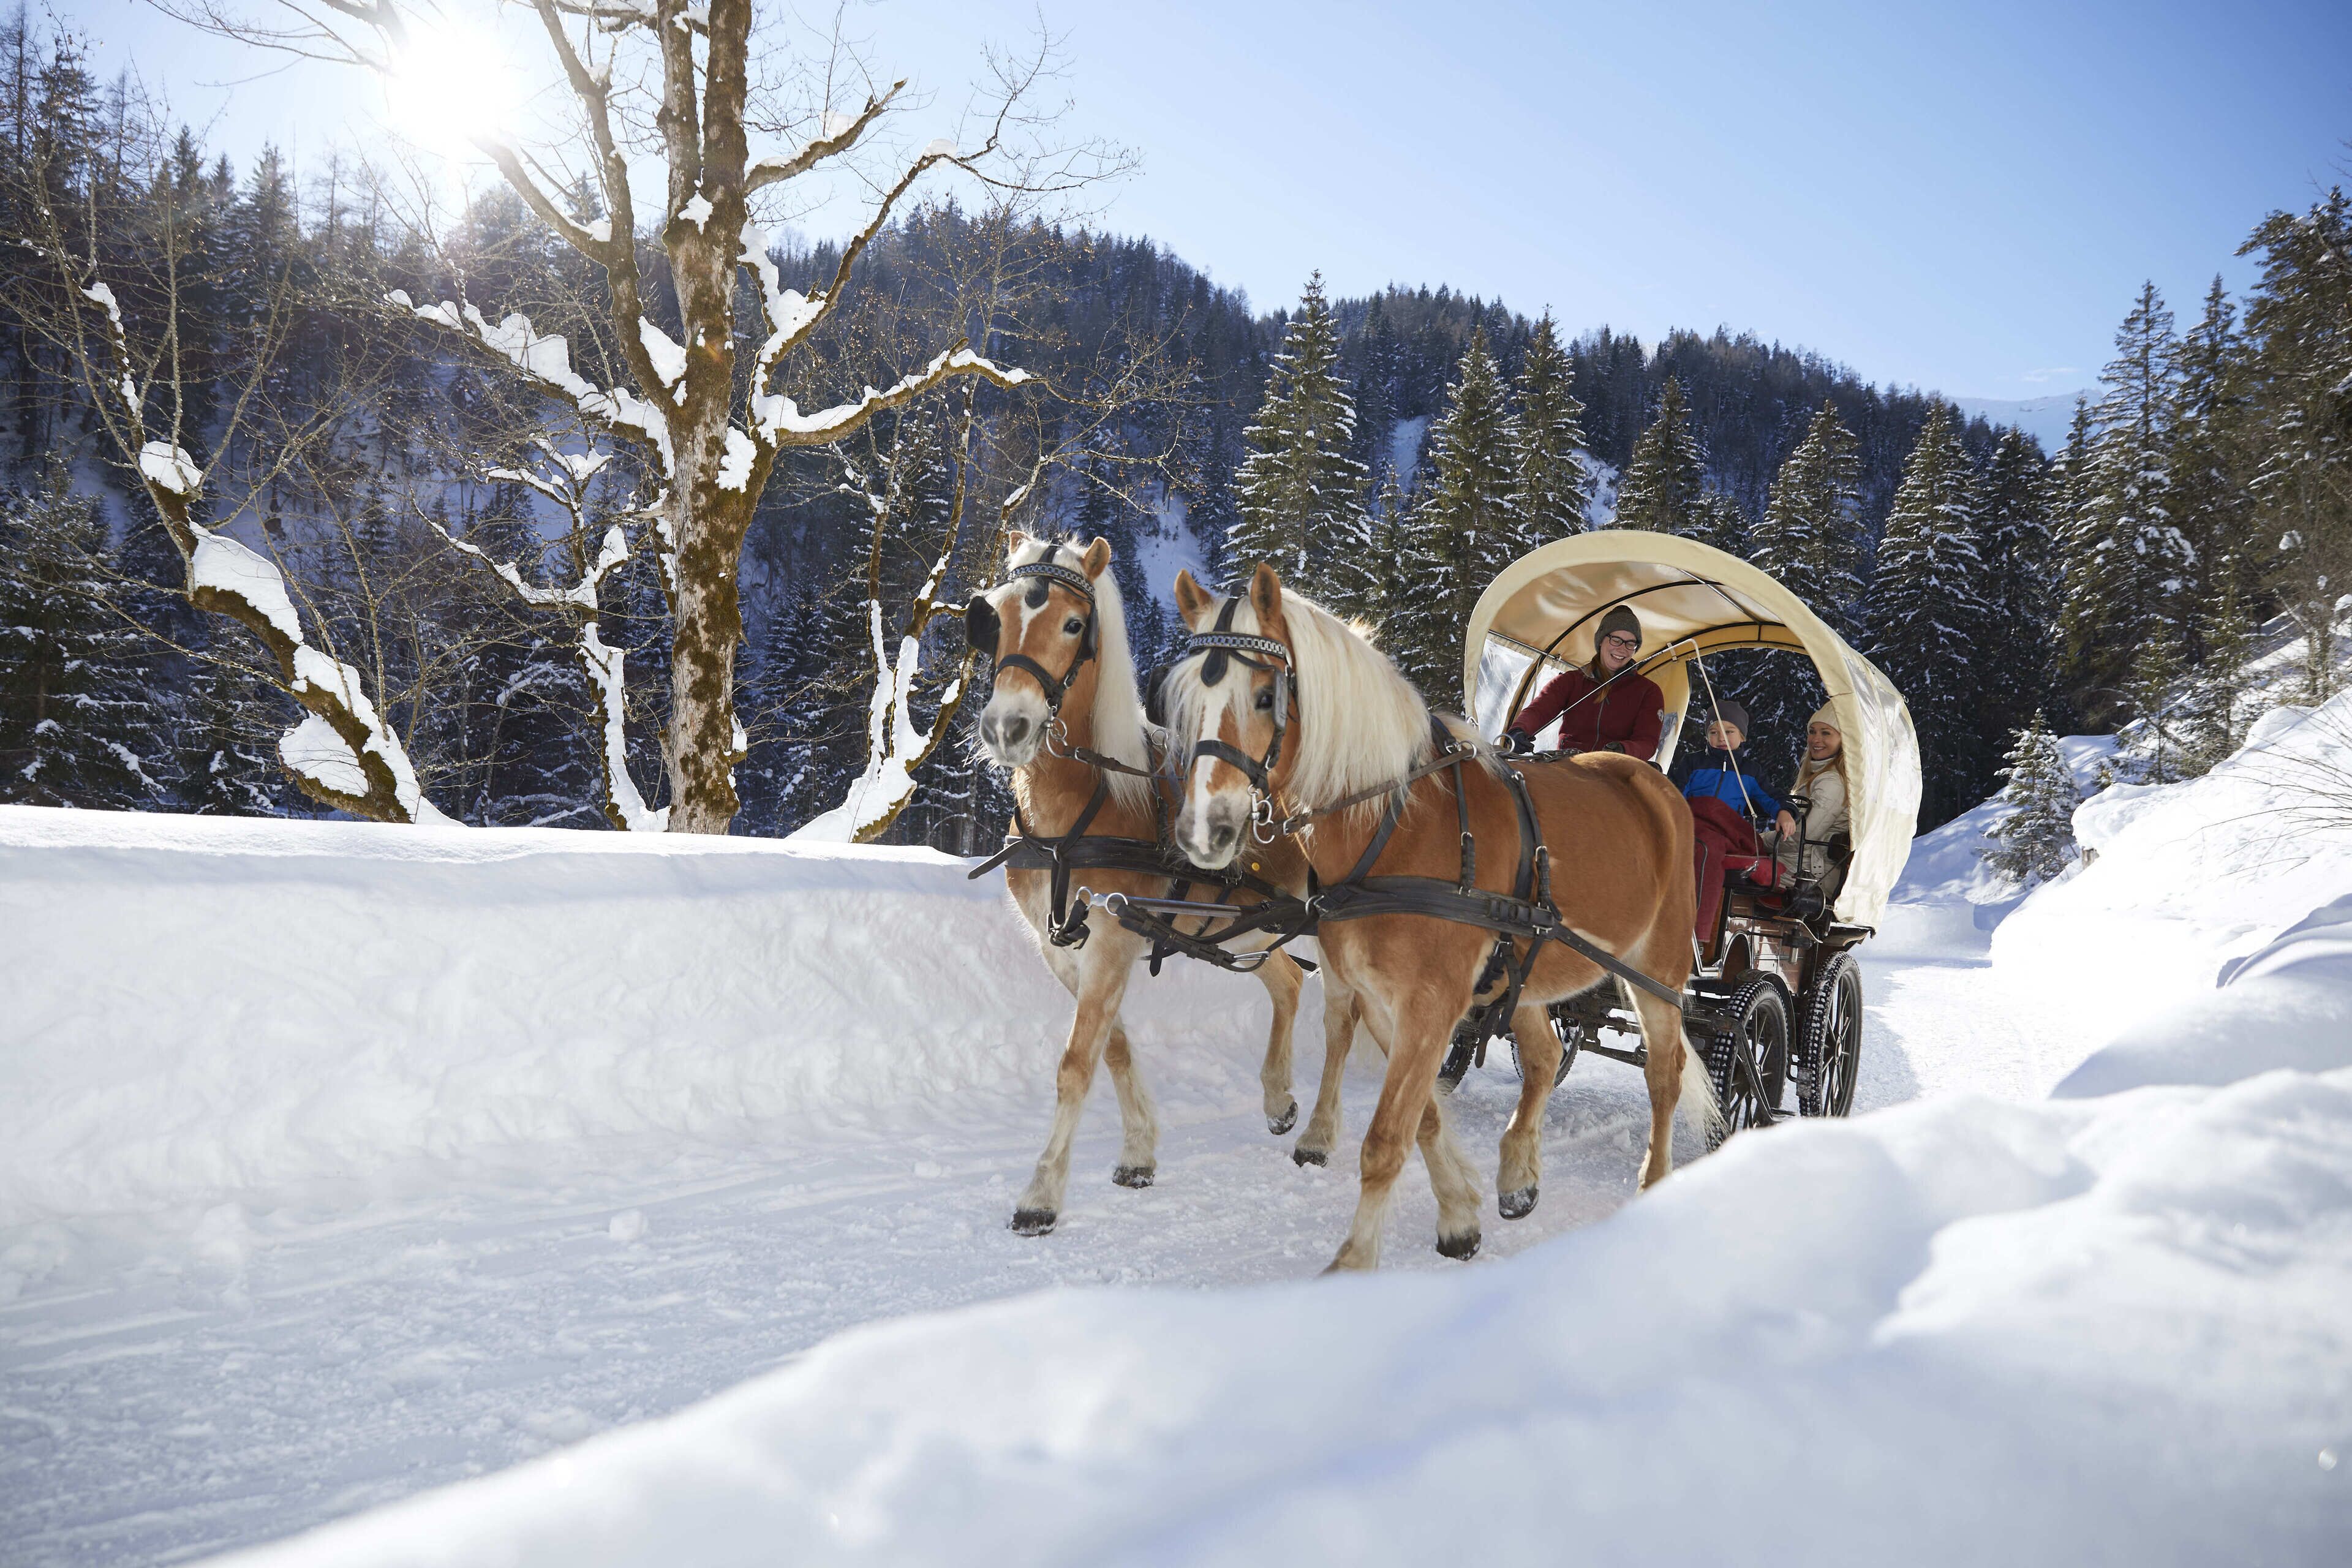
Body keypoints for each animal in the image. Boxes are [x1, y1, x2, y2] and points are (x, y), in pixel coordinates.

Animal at [968, 533, 1353, 1236]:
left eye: (1074, 624)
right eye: (996, 618)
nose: (1007, 727)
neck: (1082, 804)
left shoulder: (1113, 939)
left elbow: (1077, 1063)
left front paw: (1041, 1194)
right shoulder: (1067, 946)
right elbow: (1113, 1047)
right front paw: (1140, 1154)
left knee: (1342, 1017)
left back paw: (1320, 1131)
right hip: (1242, 925)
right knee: (1287, 983)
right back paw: (1279, 1097)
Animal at [1162, 563, 1716, 1272]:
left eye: (1265, 697)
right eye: (1185, 700)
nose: (1205, 830)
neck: (1396, 825)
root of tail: (1654, 783)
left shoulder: (1430, 1004)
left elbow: (1386, 1138)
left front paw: (1354, 1260)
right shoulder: (1385, 1003)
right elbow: (1421, 1119)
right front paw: (1459, 1216)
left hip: (1657, 974)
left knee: (1664, 1075)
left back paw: (1652, 1183)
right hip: (1527, 971)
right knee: (1542, 1059)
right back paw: (1518, 1176)